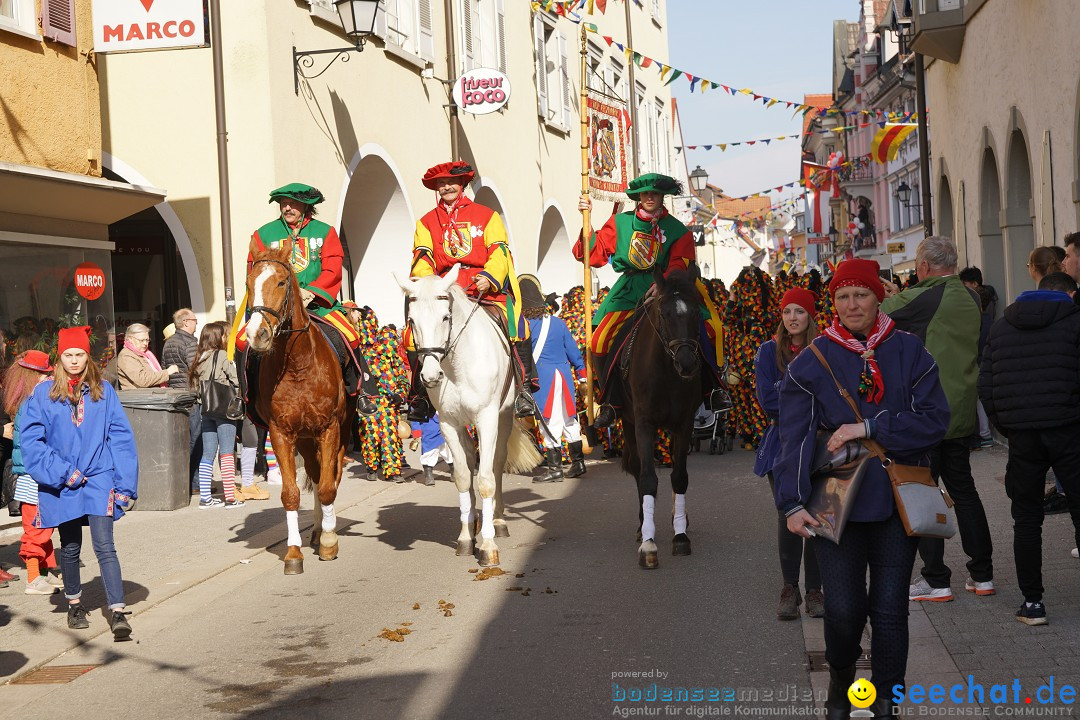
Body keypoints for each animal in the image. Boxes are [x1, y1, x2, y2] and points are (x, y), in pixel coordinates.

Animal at [246, 239, 347, 578]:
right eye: (249, 283)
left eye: (281, 282)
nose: (257, 334)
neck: (297, 367)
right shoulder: (281, 434)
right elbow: (290, 494)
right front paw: (293, 552)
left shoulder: (329, 429)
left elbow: (328, 488)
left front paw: (330, 542)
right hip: (304, 439)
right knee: (315, 475)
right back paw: (316, 529)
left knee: (331, 477)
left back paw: (327, 530)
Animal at [399, 267, 544, 565]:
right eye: (411, 321)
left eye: (445, 317)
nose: (430, 376)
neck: (456, 365)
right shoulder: (448, 423)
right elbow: (464, 478)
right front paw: (466, 537)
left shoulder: (486, 419)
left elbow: (486, 480)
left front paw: (488, 545)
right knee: (468, 459)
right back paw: (474, 521)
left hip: (503, 417)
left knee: (497, 465)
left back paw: (497, 522)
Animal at [617, 263, 708, 569]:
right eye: (664, 314)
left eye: (695, 312)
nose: (688, 363)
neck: (667, 372)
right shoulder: (644, 423)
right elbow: (647, 478)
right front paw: (648, 542)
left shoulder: (684, 424)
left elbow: (679, 477)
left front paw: (680, 535)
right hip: (628, 422)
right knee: (636, 468)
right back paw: (642, 524)